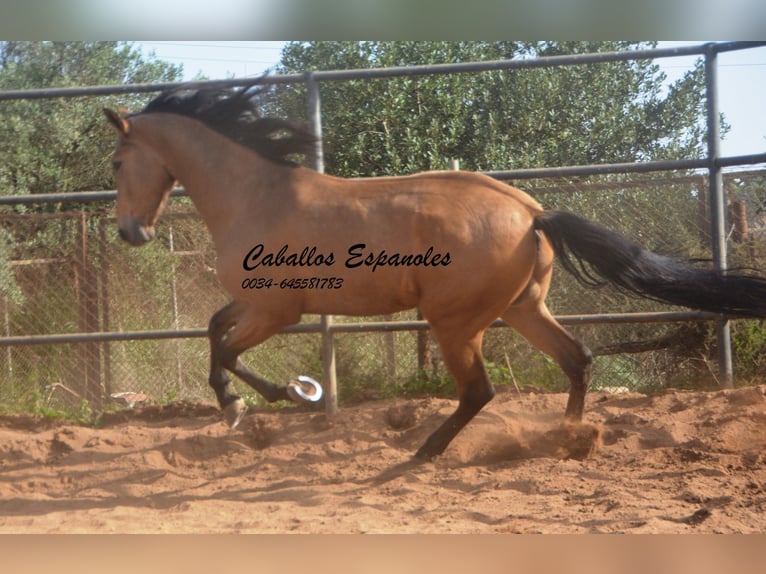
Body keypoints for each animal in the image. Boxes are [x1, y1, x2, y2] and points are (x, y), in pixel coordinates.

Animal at [103, 82, 766, 464]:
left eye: (115, 162)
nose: (131, 233)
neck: (255, 195)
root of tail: (531, 213)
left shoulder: (277, 308)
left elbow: (222, 347)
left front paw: (260, 400)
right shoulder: (257, 303)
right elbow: (213, 331)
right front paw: (249, 403)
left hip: (455, 322)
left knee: (480, 391)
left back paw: (425, 451)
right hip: (521, 308)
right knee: (577, 358)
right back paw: (566, 439)